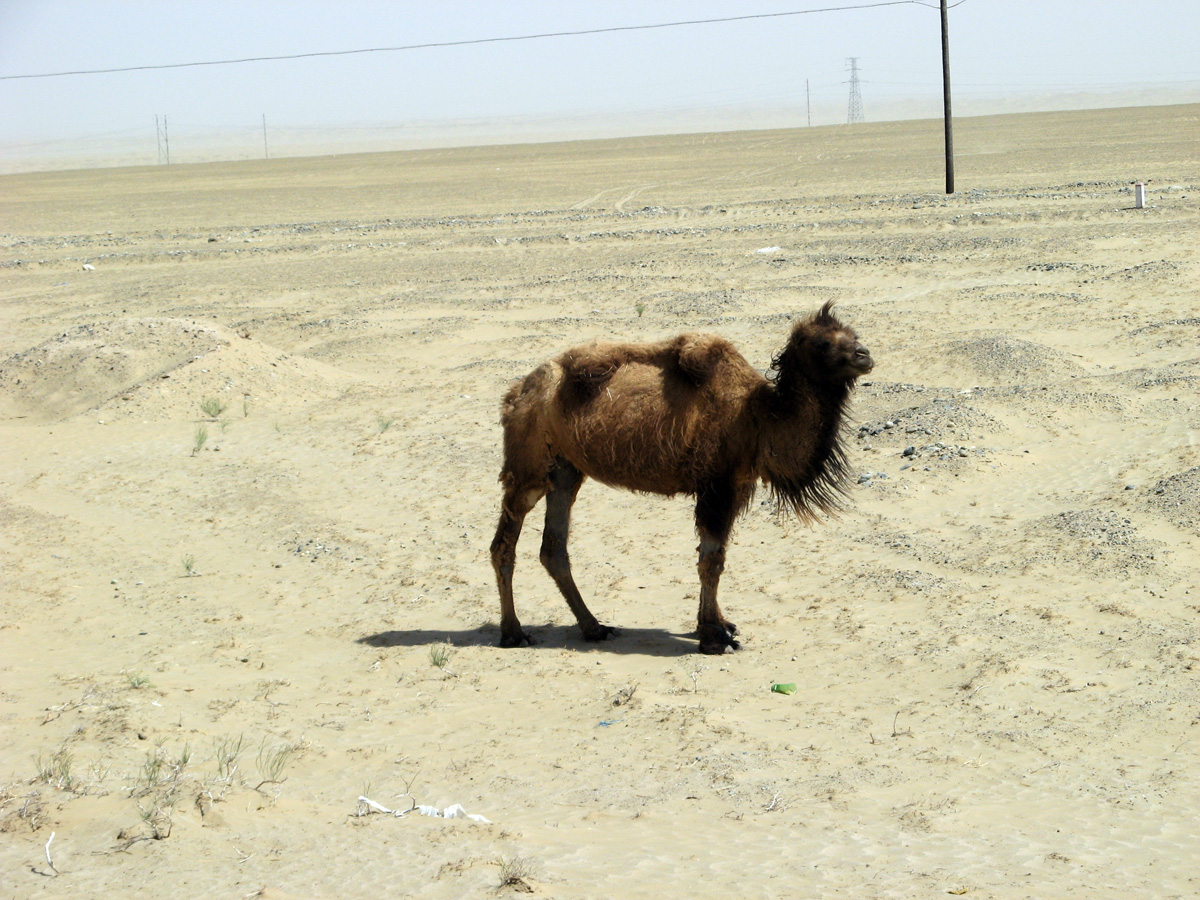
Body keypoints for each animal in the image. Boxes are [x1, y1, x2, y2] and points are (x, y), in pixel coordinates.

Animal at [489, 301, 873, 654]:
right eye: (822, 343)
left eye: (854, 334)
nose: (864, 355)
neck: (758, 416)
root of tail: (516, 393)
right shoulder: (717, 486)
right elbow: (711, 560)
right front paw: (713, 637)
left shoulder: (736, 485)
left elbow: (715, 556)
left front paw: (721, 624)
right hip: (528, 466)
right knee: (504, 543)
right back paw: (514, 633)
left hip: (565, 469)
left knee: (553, 547)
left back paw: (595, 628)